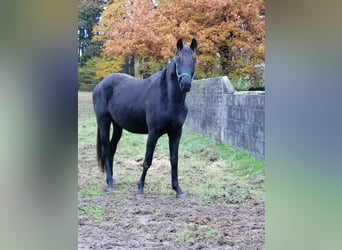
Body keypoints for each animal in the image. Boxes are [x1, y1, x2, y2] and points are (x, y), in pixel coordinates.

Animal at [93, 38, 198, 197]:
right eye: (177, 59)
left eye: (194, 59)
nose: (185, 84)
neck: (169, 98)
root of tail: (100, 85)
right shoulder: (153, 133)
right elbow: (147, 160)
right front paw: (140, 189)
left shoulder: (176, 133)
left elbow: (174, 160)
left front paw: (178, 189)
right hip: (104, 122)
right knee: (106, 150)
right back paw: (110, 183)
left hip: (118, 126)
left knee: (111, 150)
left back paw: (110, 180)